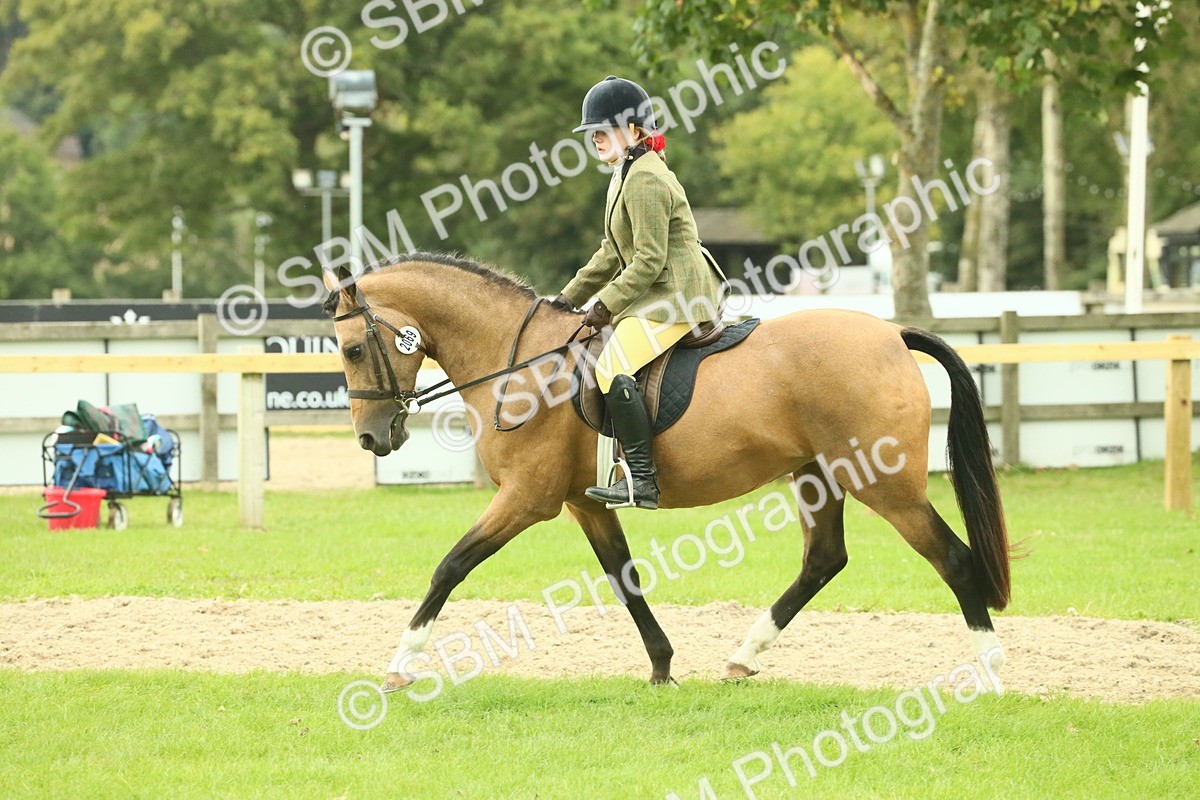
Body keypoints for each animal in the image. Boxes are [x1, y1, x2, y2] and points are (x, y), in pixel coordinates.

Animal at [320, 251, 1011, 693]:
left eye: (352, 349)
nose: (372, 437)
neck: (519, 362)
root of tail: (892, 335)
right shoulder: (586, 503)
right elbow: (623, 576)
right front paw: (661, 666)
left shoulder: (526, 498)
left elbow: (451, 565)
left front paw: (401, 662)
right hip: (816, 476)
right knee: (823, 560)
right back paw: (741, 658)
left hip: (885, 485)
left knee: (952, 559)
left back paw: (990, 672)